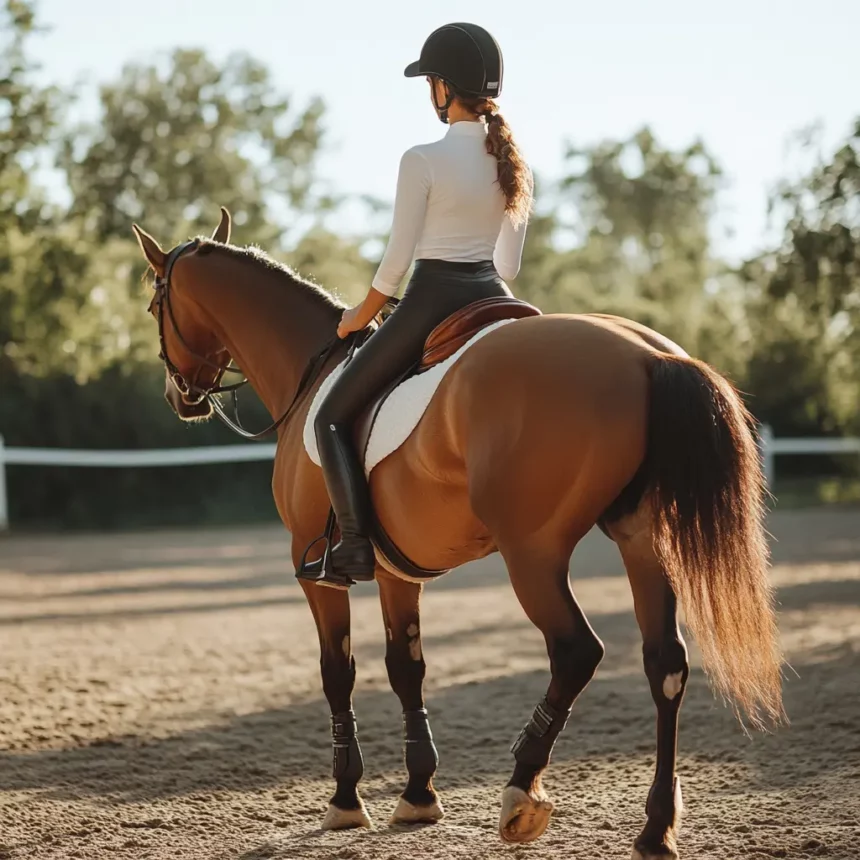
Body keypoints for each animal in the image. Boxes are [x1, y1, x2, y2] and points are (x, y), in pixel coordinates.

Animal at [131, 210, 784, 860]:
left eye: (154, 302)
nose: (178, 397)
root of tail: (648, 355)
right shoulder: (395, 573)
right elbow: (407, 667)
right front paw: (418, 794)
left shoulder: (315, 574)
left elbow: (338, 672)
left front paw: (346, 800)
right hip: (642, 541)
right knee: (664, 663)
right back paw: (654, 829)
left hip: (533, 554)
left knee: (577, 651)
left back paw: (522, 793)